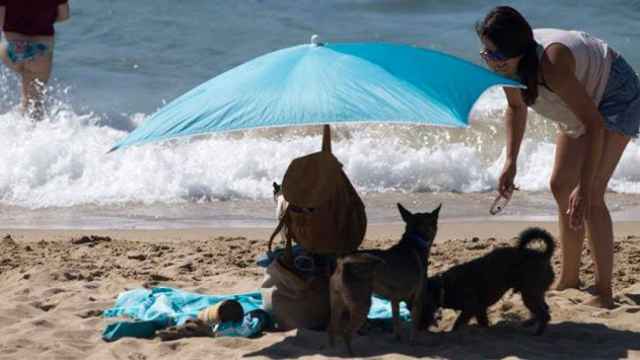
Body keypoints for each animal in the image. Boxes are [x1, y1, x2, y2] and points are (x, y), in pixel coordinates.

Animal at [360, 202, 440, 344]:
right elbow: (414, 325)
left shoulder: (394, 299)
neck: (414, 240)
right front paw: (413, 340)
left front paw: (396, 337)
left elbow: (396, 321)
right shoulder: (417, 299)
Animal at [424, 228, 556, 334]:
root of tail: (544, 255)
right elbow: (483, 323)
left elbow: (458, 323)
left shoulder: (470, 308)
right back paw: (530, 323)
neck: (443, 286)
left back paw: (537, 332)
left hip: (529, 294)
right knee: (544, 309)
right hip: (535, 293)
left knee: (544, 315)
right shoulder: (480, 309)